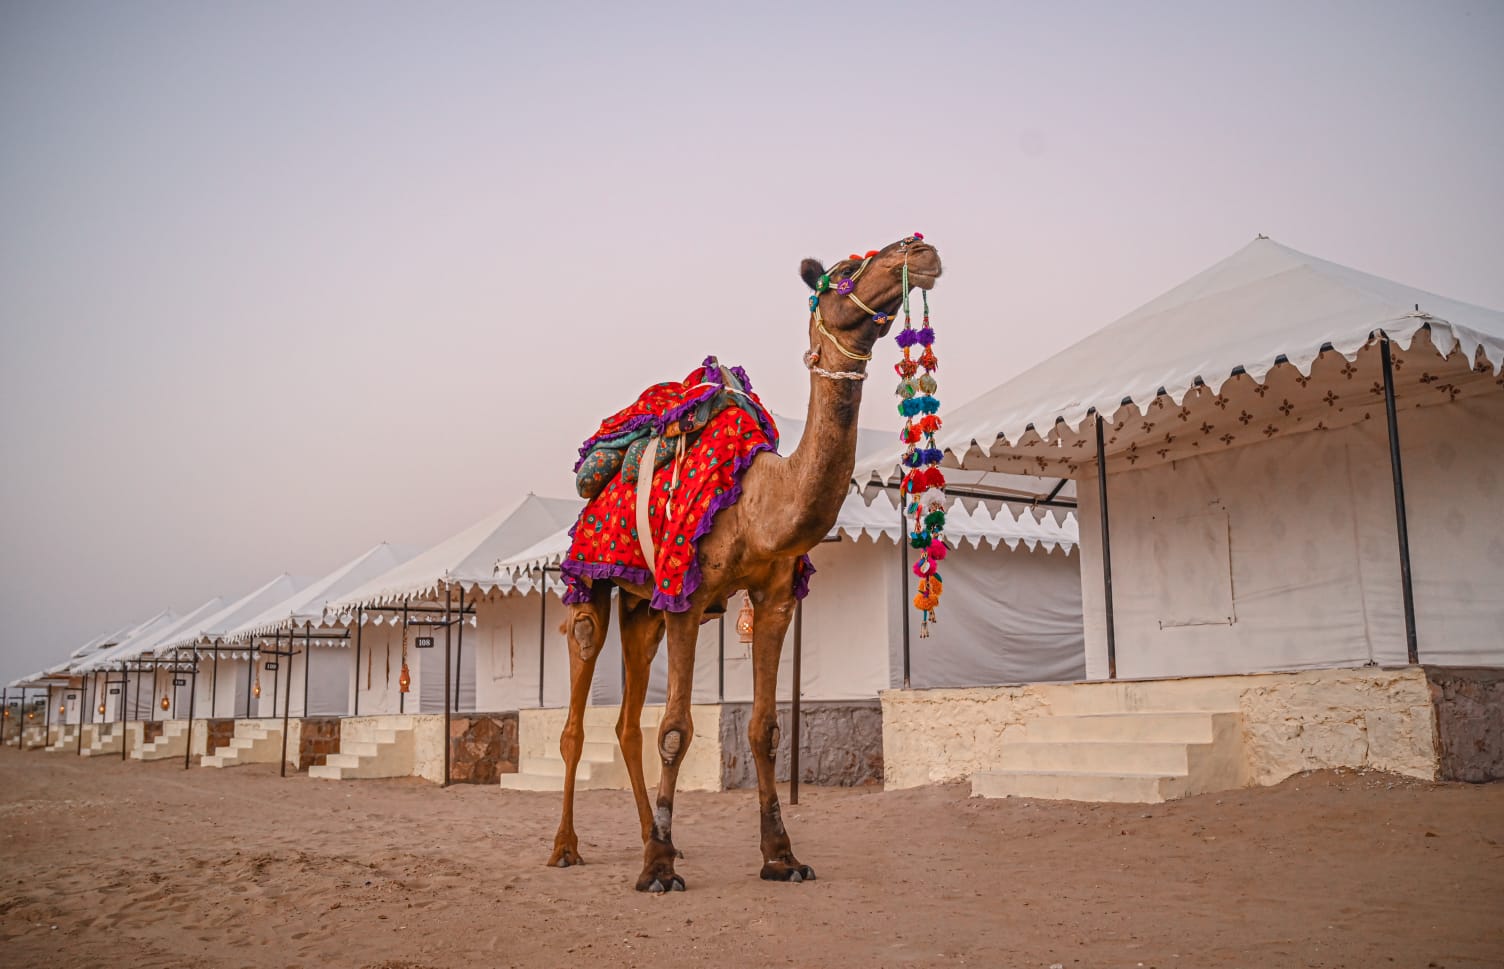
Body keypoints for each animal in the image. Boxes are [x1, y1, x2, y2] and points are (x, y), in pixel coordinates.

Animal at [547, 230, 938, 890]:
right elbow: (676, 730)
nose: (919, 248)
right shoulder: (686, 597)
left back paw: (651, 836)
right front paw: (658, 870)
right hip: (593, 581)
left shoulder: (774, 599)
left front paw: (780, 856)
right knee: (579, 707)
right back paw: (567, 847)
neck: (760, 505)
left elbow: (765, 728)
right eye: (845, 269)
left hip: (642, 607)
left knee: (627, 721)